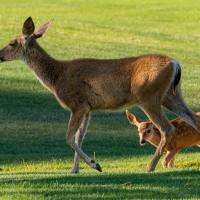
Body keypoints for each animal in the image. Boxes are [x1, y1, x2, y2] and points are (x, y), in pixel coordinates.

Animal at [0, 17, 200, 173]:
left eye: (12, 43)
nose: (0, 55)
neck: (57, 77)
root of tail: (175, 64)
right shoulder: (88, 108)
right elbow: (79, 138)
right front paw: (75, 170)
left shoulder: (77, 104)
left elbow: (69, 137)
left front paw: (95, 164)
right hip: (171, 94)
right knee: (193, 118)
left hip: (148, 96)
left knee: (167, 127)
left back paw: (150, 167)